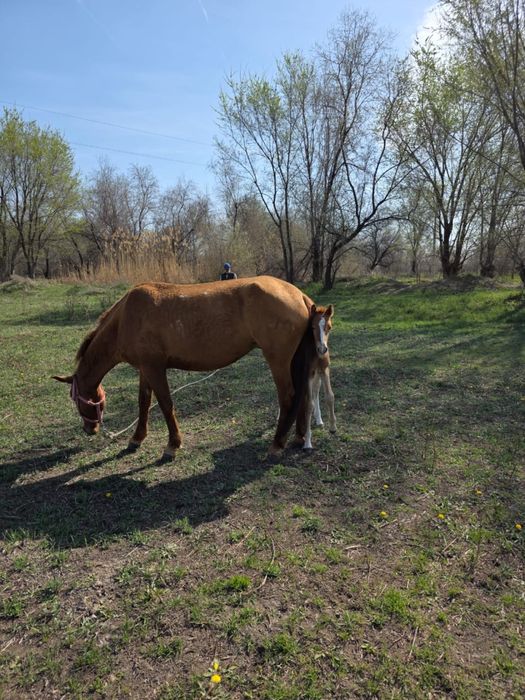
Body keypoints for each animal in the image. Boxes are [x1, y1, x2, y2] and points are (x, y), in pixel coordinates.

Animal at [53, 276, 331, 459]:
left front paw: (172, 445)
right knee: (302, 397)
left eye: (75, 399)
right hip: (293, 360)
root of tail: (298, 295)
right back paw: (298, 437)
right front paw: (136, 439)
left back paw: (277, 443)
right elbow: (144, 402)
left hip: (278, 359)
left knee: (288, 397)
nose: (89, 429)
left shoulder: (154, 368)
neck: (126, 318)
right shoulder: (145, 368)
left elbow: (165, 404)